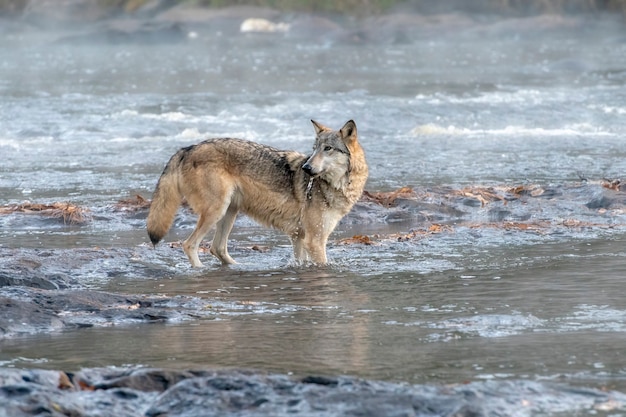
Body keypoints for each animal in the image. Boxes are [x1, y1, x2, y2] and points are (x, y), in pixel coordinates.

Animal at [146, 119, 366, 266]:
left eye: (328, 148)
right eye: (314, 149)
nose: (306, 167)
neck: (334, 185)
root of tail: (188, 148)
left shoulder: (299, 237)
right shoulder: (315, 241)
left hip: (229, 212)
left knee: (217, 248)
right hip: (216, 212)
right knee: (189, 245)